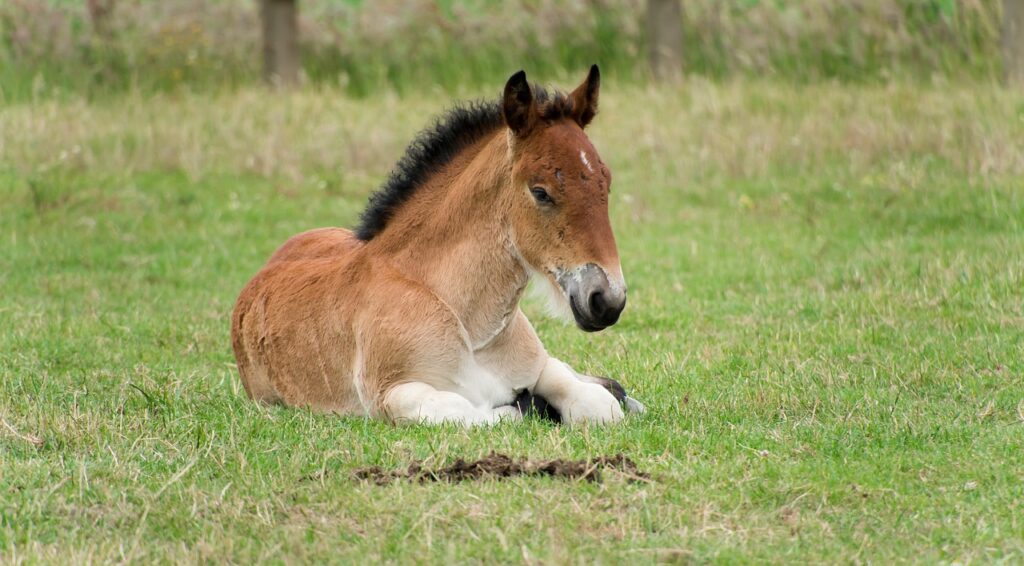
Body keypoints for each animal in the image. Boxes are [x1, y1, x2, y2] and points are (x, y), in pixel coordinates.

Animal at [231, 66, 643, 425]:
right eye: (540, 192)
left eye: (605, 183)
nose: (607, 299)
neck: (471, 326)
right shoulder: (394, 395)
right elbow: (478, 411)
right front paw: (532, 405)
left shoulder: (539, 366)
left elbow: (598, 405)